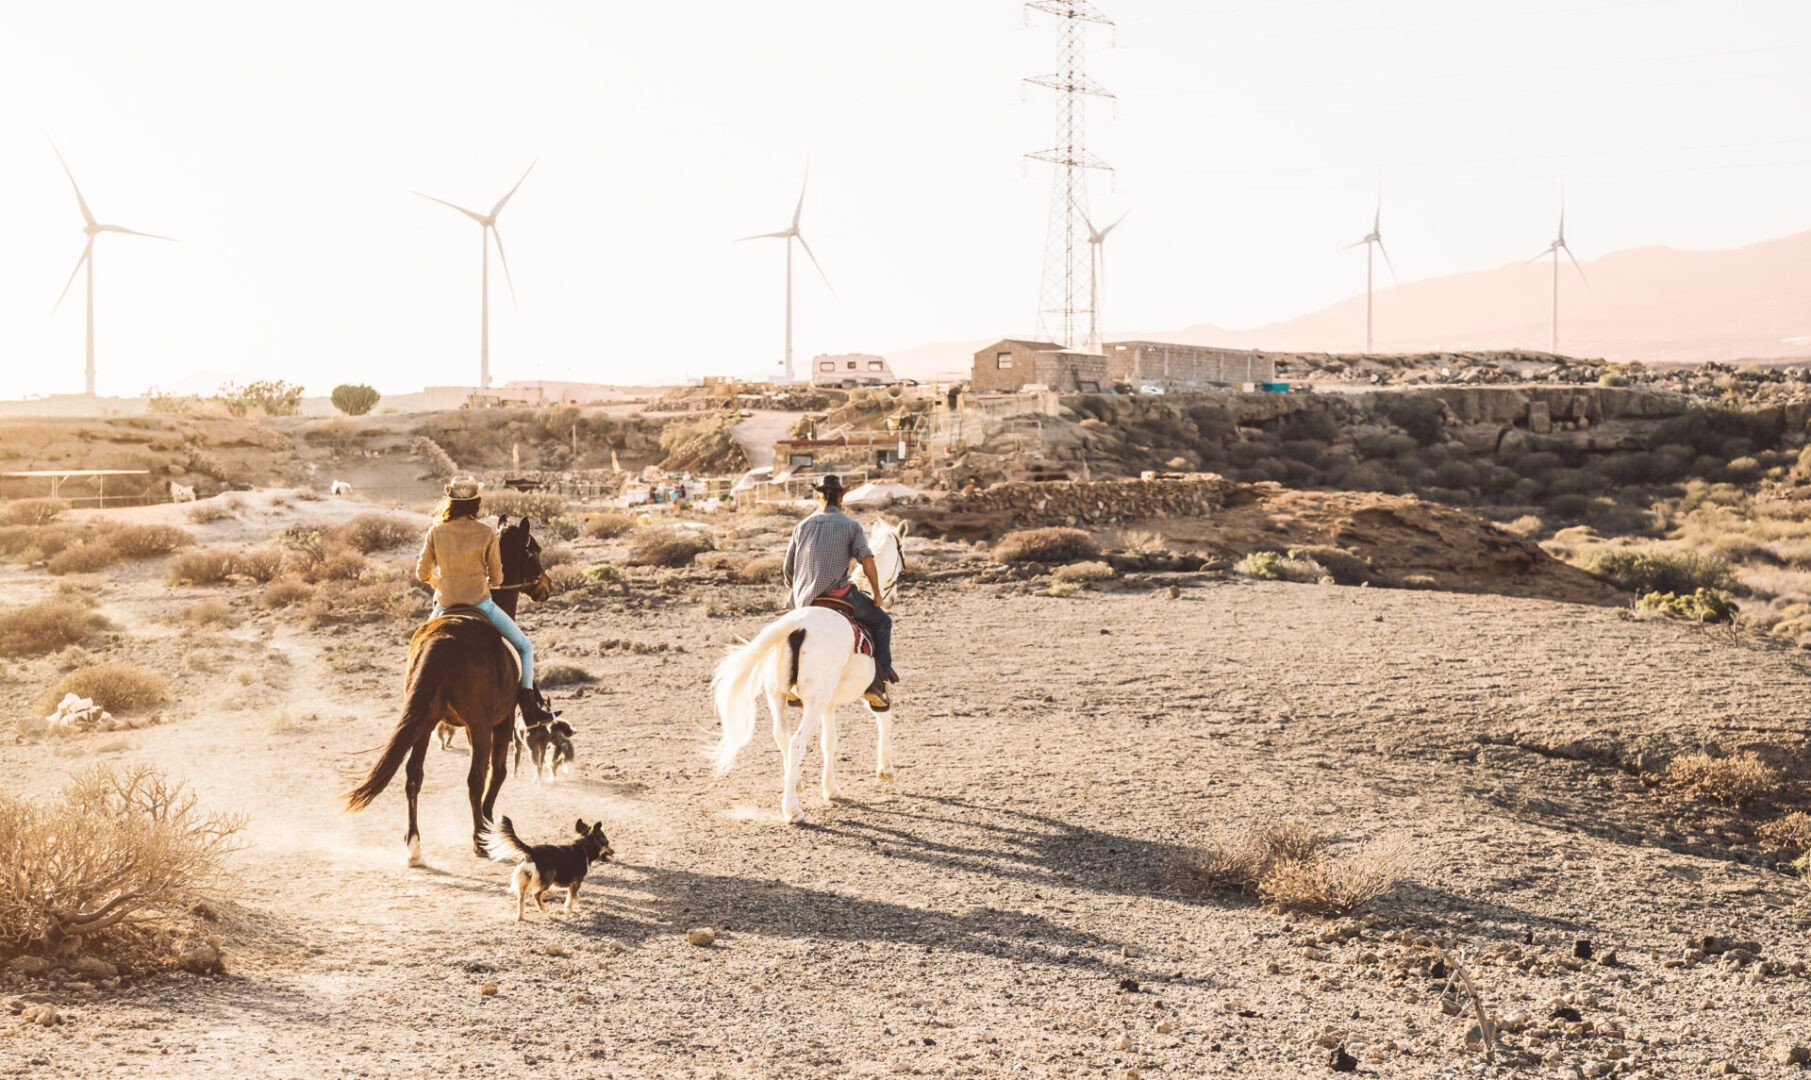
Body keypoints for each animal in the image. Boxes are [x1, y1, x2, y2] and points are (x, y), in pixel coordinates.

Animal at [343, 516, 549, 865]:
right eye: (533, 550)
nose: (546, 586)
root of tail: (445, 638)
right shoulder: (501, 721)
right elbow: (498, 773)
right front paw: (488, 825)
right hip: (478, 725)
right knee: (475, 778)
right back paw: (478, 840)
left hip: (425, 723)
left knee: (413, 775)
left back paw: (414, 845)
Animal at [711, 518, 907, 824]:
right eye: (901, 558)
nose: (890, 600)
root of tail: (796, 626)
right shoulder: (874, 693)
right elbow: (884, 720)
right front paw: (885, 770)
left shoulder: (829, 703)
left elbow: (830, 742)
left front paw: (831, 789)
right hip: (812, 703)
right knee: (796, 741)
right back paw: (792, 809)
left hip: (778, 697)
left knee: (781, 737)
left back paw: (796, 782)